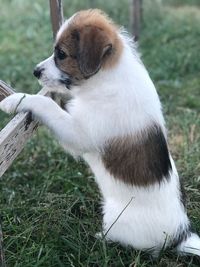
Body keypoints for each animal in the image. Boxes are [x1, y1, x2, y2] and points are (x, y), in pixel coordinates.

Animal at [0, 8, 199, 258]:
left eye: (61, 54)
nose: (35, 71)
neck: (106, 77)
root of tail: (178, 236)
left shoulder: (79, 133)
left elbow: (47, 105)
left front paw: (17, 100)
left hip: (116, 219)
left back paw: (100, 238)